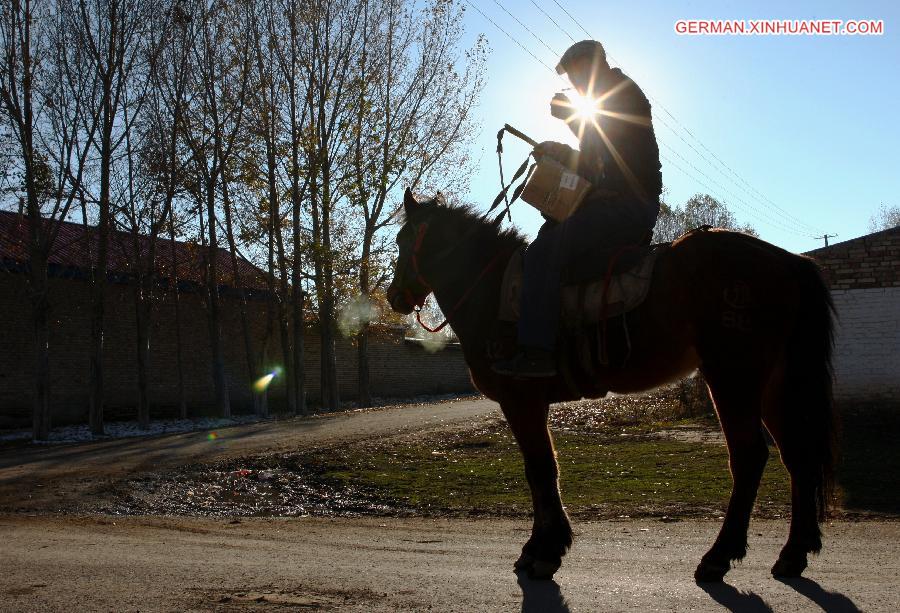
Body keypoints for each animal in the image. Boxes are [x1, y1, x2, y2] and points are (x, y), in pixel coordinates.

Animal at [386, 189, 836, 580]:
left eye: (403, 240)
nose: (394, 297)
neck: (494, 290)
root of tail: (787, 261)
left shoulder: (521, 400)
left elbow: (540, 469)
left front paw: (545, 552)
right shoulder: (532, 404)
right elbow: (542, 470)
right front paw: (540, 546)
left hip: (732, 377)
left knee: (749, 457)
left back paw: (718, 557)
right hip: (773, 384)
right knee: (797, 457)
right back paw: (793, 554)